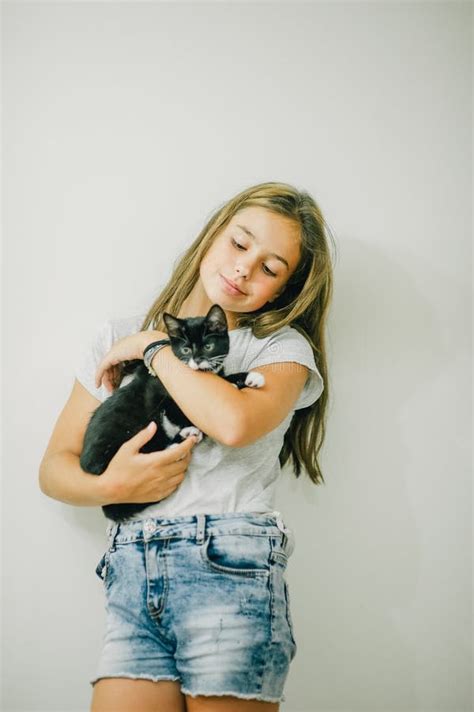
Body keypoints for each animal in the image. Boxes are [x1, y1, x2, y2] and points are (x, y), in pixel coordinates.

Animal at [79, 302, 264, 524]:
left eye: (208, 347)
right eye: (185, 349)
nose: (197, 361)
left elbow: (225, 380)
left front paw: (251, 377)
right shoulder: (160, 393)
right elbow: (177, 412)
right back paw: (183, 438)